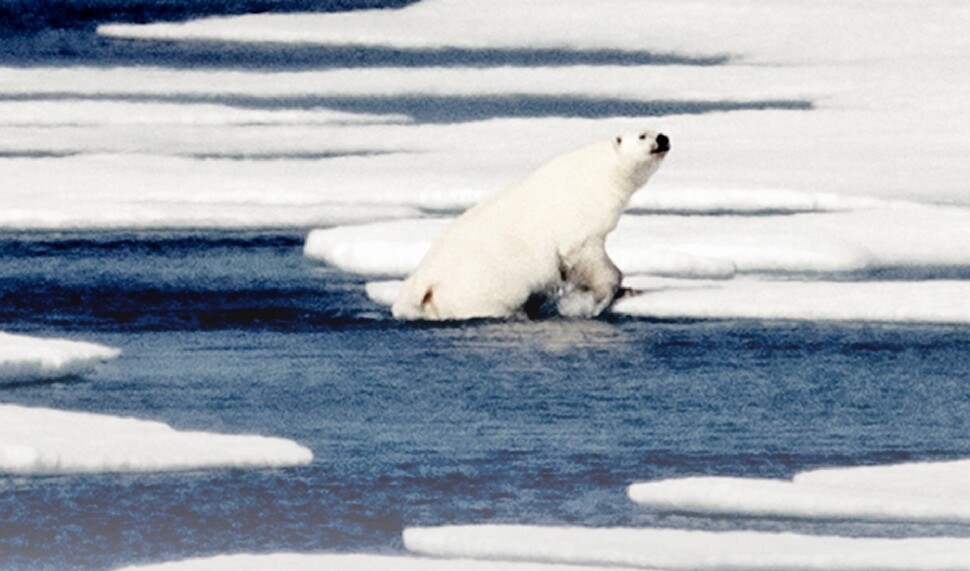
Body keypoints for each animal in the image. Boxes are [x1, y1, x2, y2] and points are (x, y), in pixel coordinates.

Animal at [390, 128, 668, 322]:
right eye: (642, 135)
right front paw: (600, 298)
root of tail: (421, 284)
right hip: (476, 289)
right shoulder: (578, 223)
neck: (598, 173)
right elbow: (591, 262)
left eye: (655, 129)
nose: (663, 138)